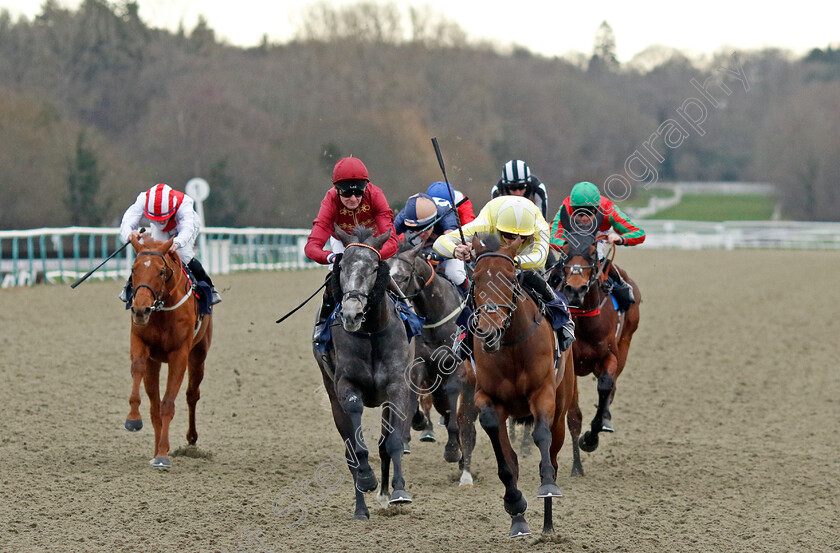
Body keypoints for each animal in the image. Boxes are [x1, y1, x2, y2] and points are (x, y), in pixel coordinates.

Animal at [123, 235, 213, 468]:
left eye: (161, 271)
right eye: (133, 269)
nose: (140, 310)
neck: (162, 309)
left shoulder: (179, 355)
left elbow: (168, 404)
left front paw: (163, 454)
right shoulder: (141, 343)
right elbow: (137, 369)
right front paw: (133, 419)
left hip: (199, 355)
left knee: (192, 395)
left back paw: (191, 438)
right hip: (155, 363)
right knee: (154, 407)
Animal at [314, 224, 416, 516]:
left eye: (373, 269)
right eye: (342, 267)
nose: (351, 314)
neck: (370, 332)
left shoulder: (397, 386)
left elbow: (392, 442)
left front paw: (398, 491)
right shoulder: (346, 385)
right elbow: (356, 441)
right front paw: (368, 478)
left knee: (383, 443)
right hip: (332, 395)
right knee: (350, 453)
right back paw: (361, 508)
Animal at [388, 239, 480, 486]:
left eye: (403, 276)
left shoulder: (457, 371)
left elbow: (456, 417)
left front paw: (452, 450)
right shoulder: (419, 365)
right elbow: (412, 401)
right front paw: (411, 432)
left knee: (464, 421)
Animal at [466, 232, 576, 536]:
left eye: (510, 278)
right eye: (475, 277)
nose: (488, 332)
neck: (512, 346)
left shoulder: (543, 393)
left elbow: (541, 438)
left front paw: (547, 485)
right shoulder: (486, 397)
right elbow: (507, 460)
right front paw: (514, 503)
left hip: (562, 404)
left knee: (553, 453)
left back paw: (548, 526)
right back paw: (519, 523)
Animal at [552, 226, 644, 476]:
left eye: (593, 252)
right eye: (565, 250)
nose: (575, 289)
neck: (585, 318)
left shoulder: (609, 356)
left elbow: (605, 386)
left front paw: (591, 437)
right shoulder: (571, 366)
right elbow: (573, 414)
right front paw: (577, 465)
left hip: (626, 342)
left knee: (612, 386)